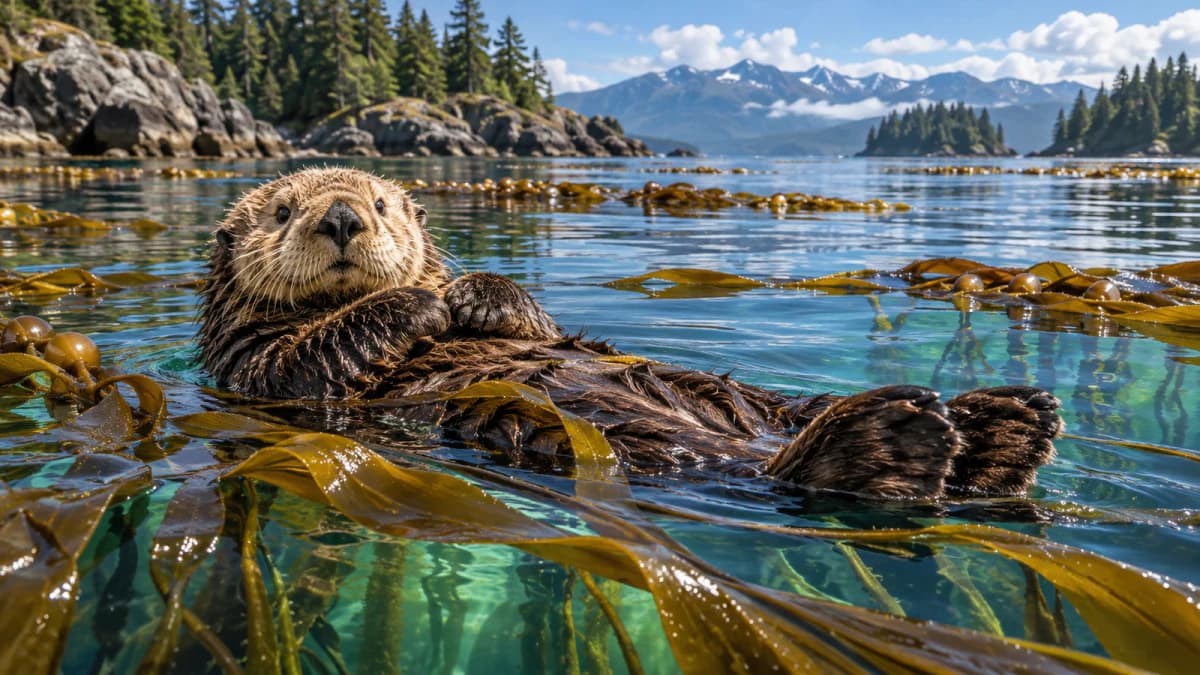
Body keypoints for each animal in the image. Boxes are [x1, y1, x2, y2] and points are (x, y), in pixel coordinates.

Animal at [200, 167, 1062, 499]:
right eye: (283, 212)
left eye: (381, 206)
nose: (343, 217)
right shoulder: (250, 363)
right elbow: (309, 358)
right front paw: (421, 305)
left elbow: (530, 312)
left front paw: (470, 294)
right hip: (616, 439)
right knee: (792, 470)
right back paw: (909, 437)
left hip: (767, 397)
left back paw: (1004, 424)